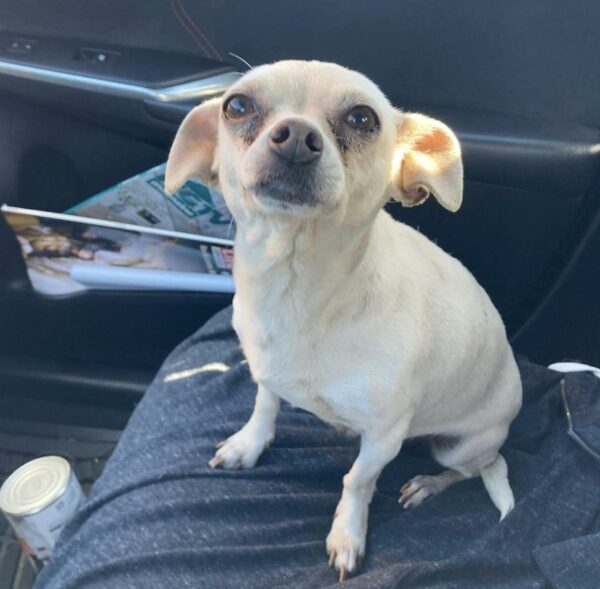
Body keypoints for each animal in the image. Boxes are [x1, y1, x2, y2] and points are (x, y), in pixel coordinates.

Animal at [164, 59, 520, 580]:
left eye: (362, 118)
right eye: (237, 106)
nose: (295, 135)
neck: (295, 289)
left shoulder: (385, 437)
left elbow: (357, 480)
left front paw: (347, 534)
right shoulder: (266, 372)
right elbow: (265, 405)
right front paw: (250, 444)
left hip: (461, 444)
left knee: (472, 469)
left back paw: (428, 484)